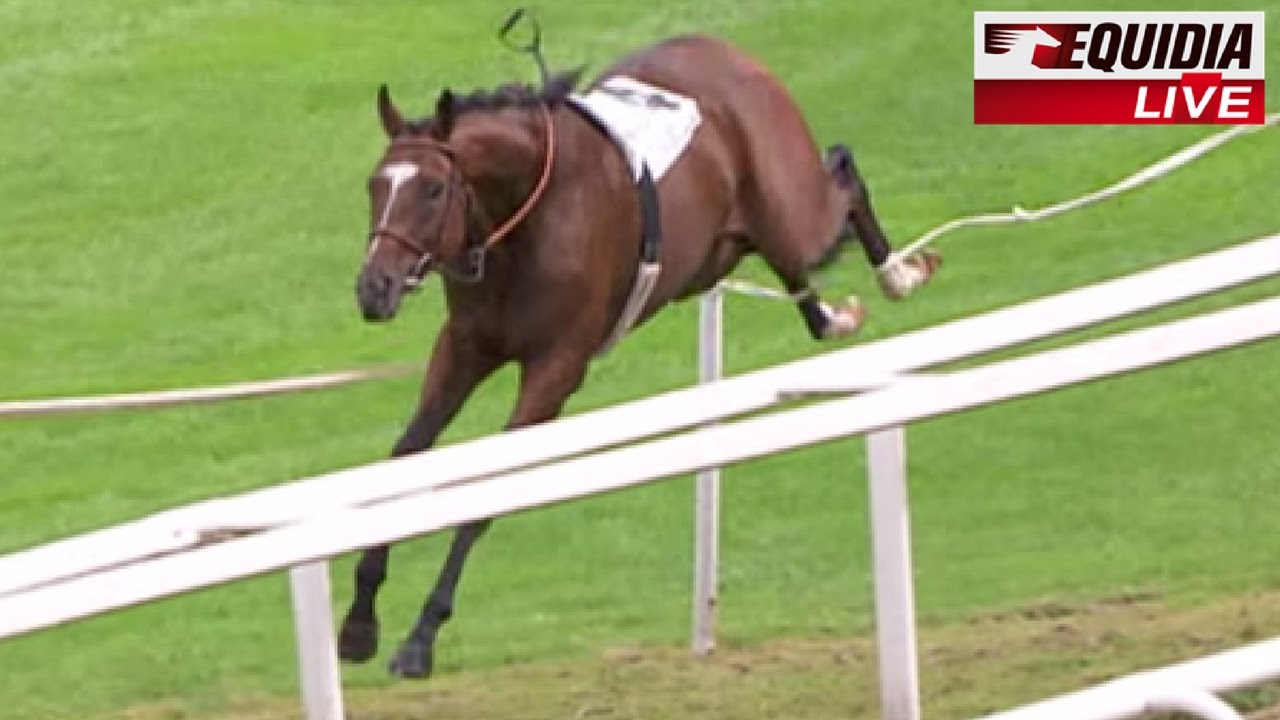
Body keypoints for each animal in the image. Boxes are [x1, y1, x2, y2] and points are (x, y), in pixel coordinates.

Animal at [342, 32, 940, 679]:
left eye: (431, 189)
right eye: (375, 186)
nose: (373, 288)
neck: (526, 213)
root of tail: (731, 52)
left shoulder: (556, 367)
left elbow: (489, 489)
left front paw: (421, 635)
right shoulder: (465, 348)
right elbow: (406, 455)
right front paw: (358, 619)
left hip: (791, 210)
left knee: (843, 178)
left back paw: (898, 273)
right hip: (724, 250)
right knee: (800, 276)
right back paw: (834, 313)